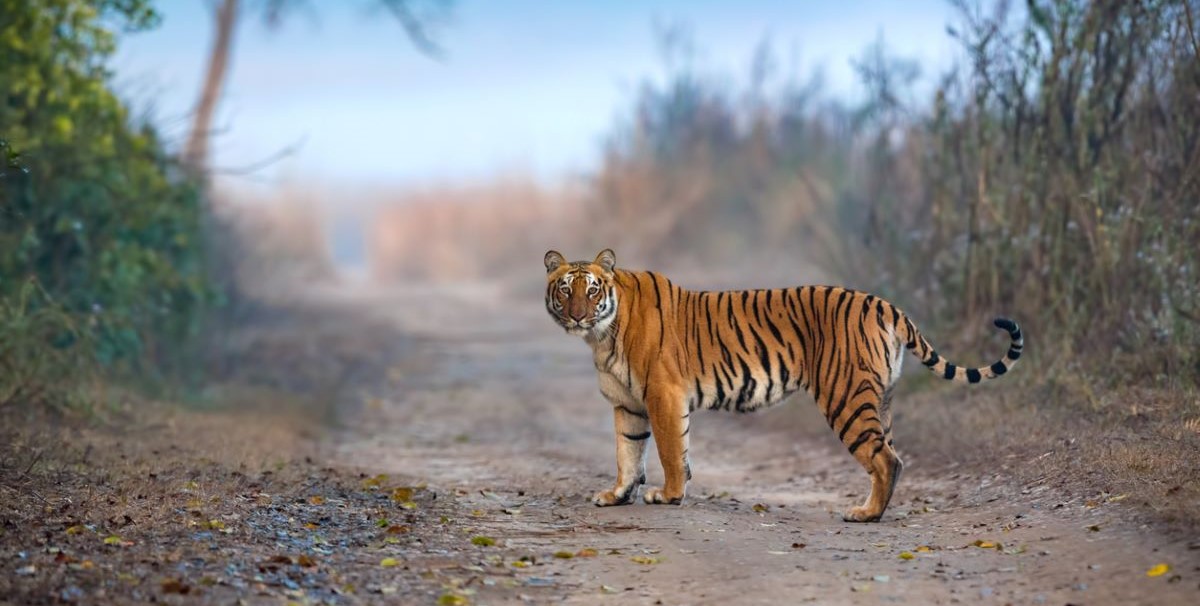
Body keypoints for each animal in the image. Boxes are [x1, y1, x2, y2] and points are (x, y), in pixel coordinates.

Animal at [543, 249, 1023, 522]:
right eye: (565, 289)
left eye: (592, 289)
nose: (578, 315)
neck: (602, 335)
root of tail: (883, 303)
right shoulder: (628, 405)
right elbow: (628, 453)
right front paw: (617, 496)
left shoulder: (663, 395)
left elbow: (669, 451)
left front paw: (670, 495)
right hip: (880, 400)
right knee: (892, 457)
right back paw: (875, 510)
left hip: (845, 397)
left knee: (886, 460)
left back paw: (864, 515)